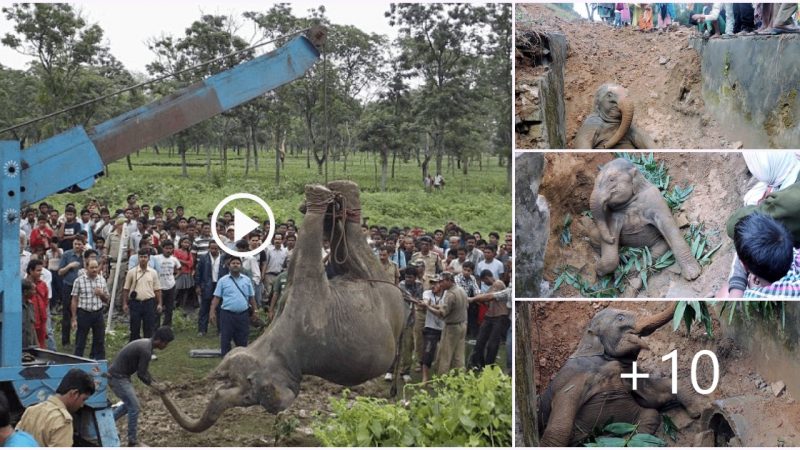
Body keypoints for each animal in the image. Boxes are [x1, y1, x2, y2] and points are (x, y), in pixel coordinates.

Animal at [155, 181, 406, 430]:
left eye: (244, 390)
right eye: (248, 398)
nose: (162, 388)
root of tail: (399, 291)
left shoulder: (306, 299)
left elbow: (304, 250)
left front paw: (316, 197)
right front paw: (319, 200)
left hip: (382, 290)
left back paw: (339, 193)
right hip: (379, 287)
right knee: (351, 244)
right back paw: (341, 195)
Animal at [536, 302, 708, 446]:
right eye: (620, 318)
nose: (692, 304)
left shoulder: (628, 371)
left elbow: (654, 396)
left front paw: (699, 411)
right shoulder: (575, 378)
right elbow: (560, 428)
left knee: (650, 415)